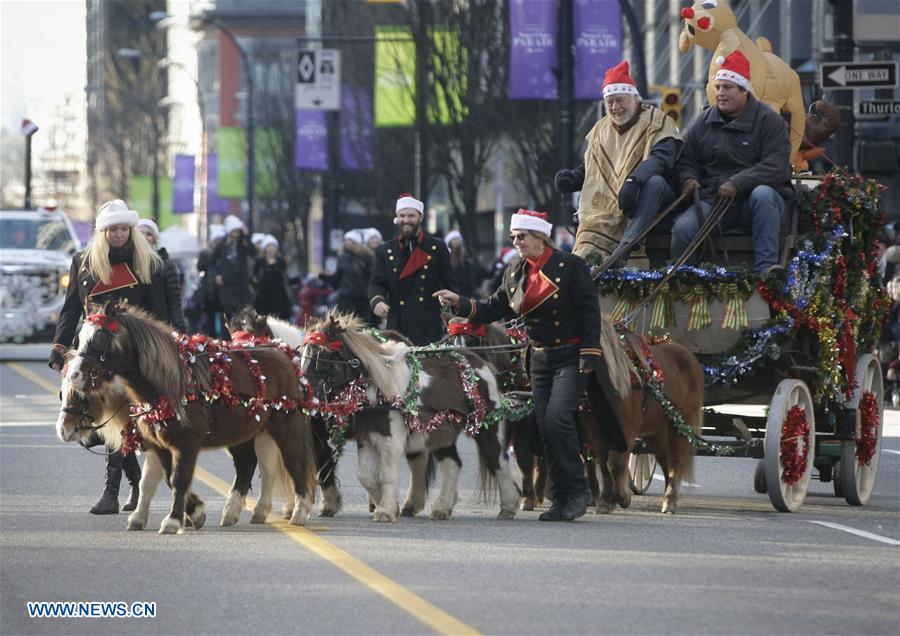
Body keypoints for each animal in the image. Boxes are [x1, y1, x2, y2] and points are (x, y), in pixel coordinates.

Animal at [62, 302, 316, 532]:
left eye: (100, 337)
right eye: (79, 337)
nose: (74, 374)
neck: (170, 384)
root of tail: (281, 352)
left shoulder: (187, 444)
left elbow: (179, 479)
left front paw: (173, 520)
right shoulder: (159, 444)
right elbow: (160, 479)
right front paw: (192, 513)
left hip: (285, 426)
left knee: (293, 462)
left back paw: (299, 511)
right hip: (245, 431)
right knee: (248, 463)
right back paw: (236, 511)